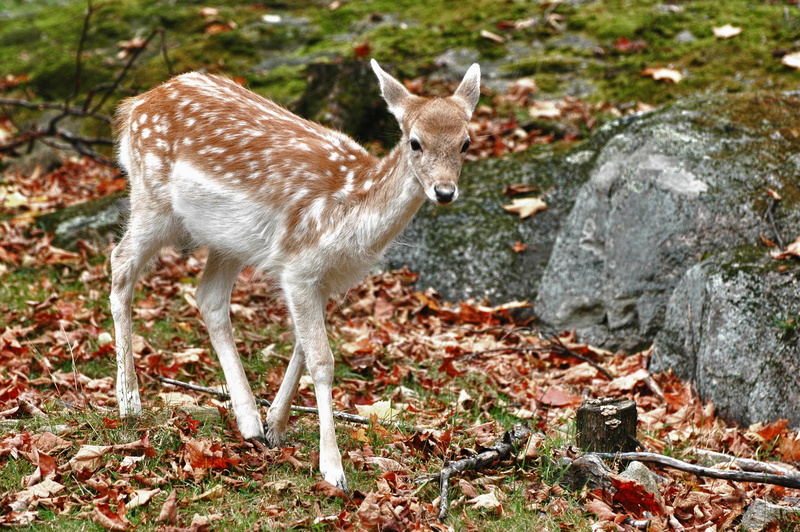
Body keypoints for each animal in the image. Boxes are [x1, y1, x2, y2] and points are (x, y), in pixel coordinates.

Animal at [110, 59, 480, 491]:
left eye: (466, 143)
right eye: (414, 142)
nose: (444, 191)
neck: (351, 218)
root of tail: (133, 106)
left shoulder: (325, 279)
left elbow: (303, 348)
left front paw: (276, 425)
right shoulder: (299, 268)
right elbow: (321, 359)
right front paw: (333, 469)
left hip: (228, 240)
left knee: (208, 298)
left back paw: (249, 421)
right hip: (152, 200)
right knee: (120, 264)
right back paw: (129, 403)